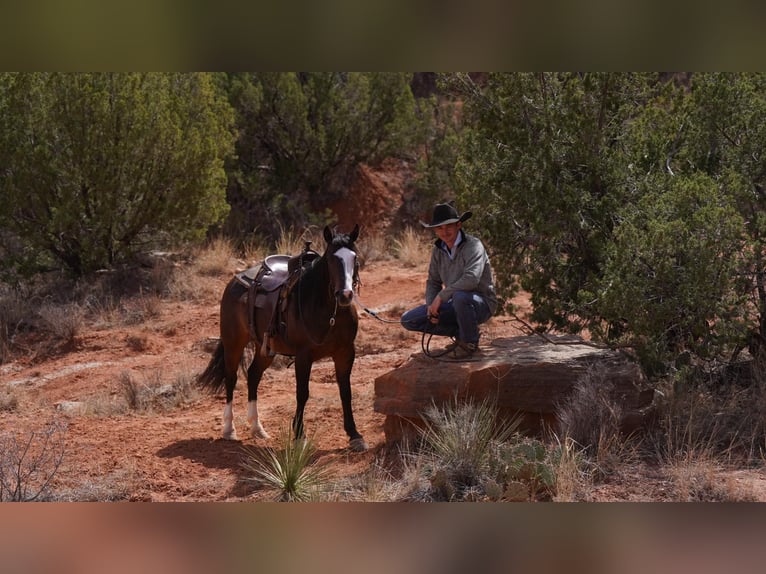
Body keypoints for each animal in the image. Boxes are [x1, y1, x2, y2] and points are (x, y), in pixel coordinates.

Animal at [196, 225, 368, 454]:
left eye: (355, 258)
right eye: (331, 259)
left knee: (253, 375)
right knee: (231, 379)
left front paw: (354, 435)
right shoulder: (304, 356)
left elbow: (345, 392)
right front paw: (299, 436)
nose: (345, 295)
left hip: (265, 348)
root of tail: (236, 279)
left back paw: (257, 428)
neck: (327, 311)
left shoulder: (345, 352)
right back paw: (229, 429)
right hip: (234, 343)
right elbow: (302, 393)